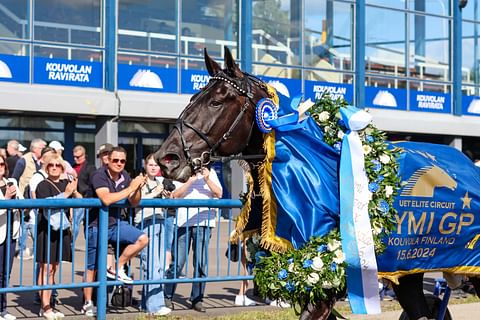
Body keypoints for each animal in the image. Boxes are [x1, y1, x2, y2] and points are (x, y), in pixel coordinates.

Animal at [156, 45, 478, 320]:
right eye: (192, 99)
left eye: (216, 101)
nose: (165, 158)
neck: (316, 167)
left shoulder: (327, 276)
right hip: (410, 268)